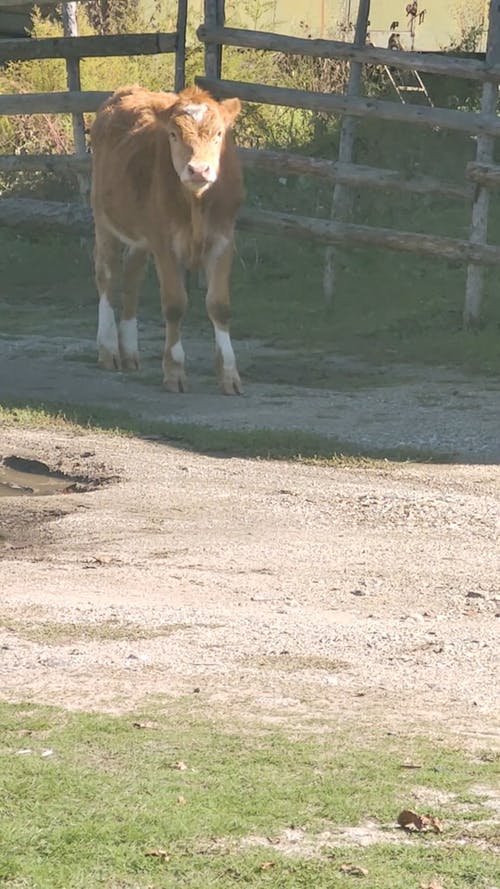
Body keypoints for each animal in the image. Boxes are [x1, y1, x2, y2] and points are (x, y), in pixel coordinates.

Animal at [92, 85, 246, 394]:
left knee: (132, 276)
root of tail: (127, 90)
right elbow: (175, 305)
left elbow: (219, 306)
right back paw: (109, 348)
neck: (197, 203)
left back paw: (130, 351)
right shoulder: (164, 243)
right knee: (107, 276)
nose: (198, 170)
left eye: (218, 134)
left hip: (140, 236)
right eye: (173, 134)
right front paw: (174, 371)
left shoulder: (223, 240)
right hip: (103, 220)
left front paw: (229, 375)